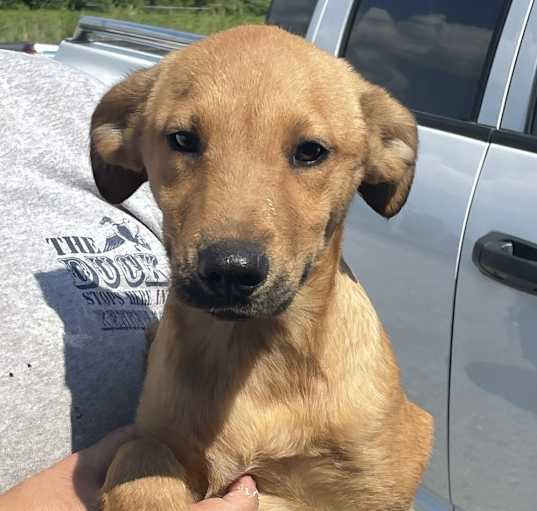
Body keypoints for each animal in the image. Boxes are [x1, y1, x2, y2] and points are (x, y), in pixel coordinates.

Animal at [89, 24, 432, 511]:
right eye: (182, 139)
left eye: (311, 151)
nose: (230, 271)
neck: (255, 360)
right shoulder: (159, 434)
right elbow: (140, 454)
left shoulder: (372, 484)